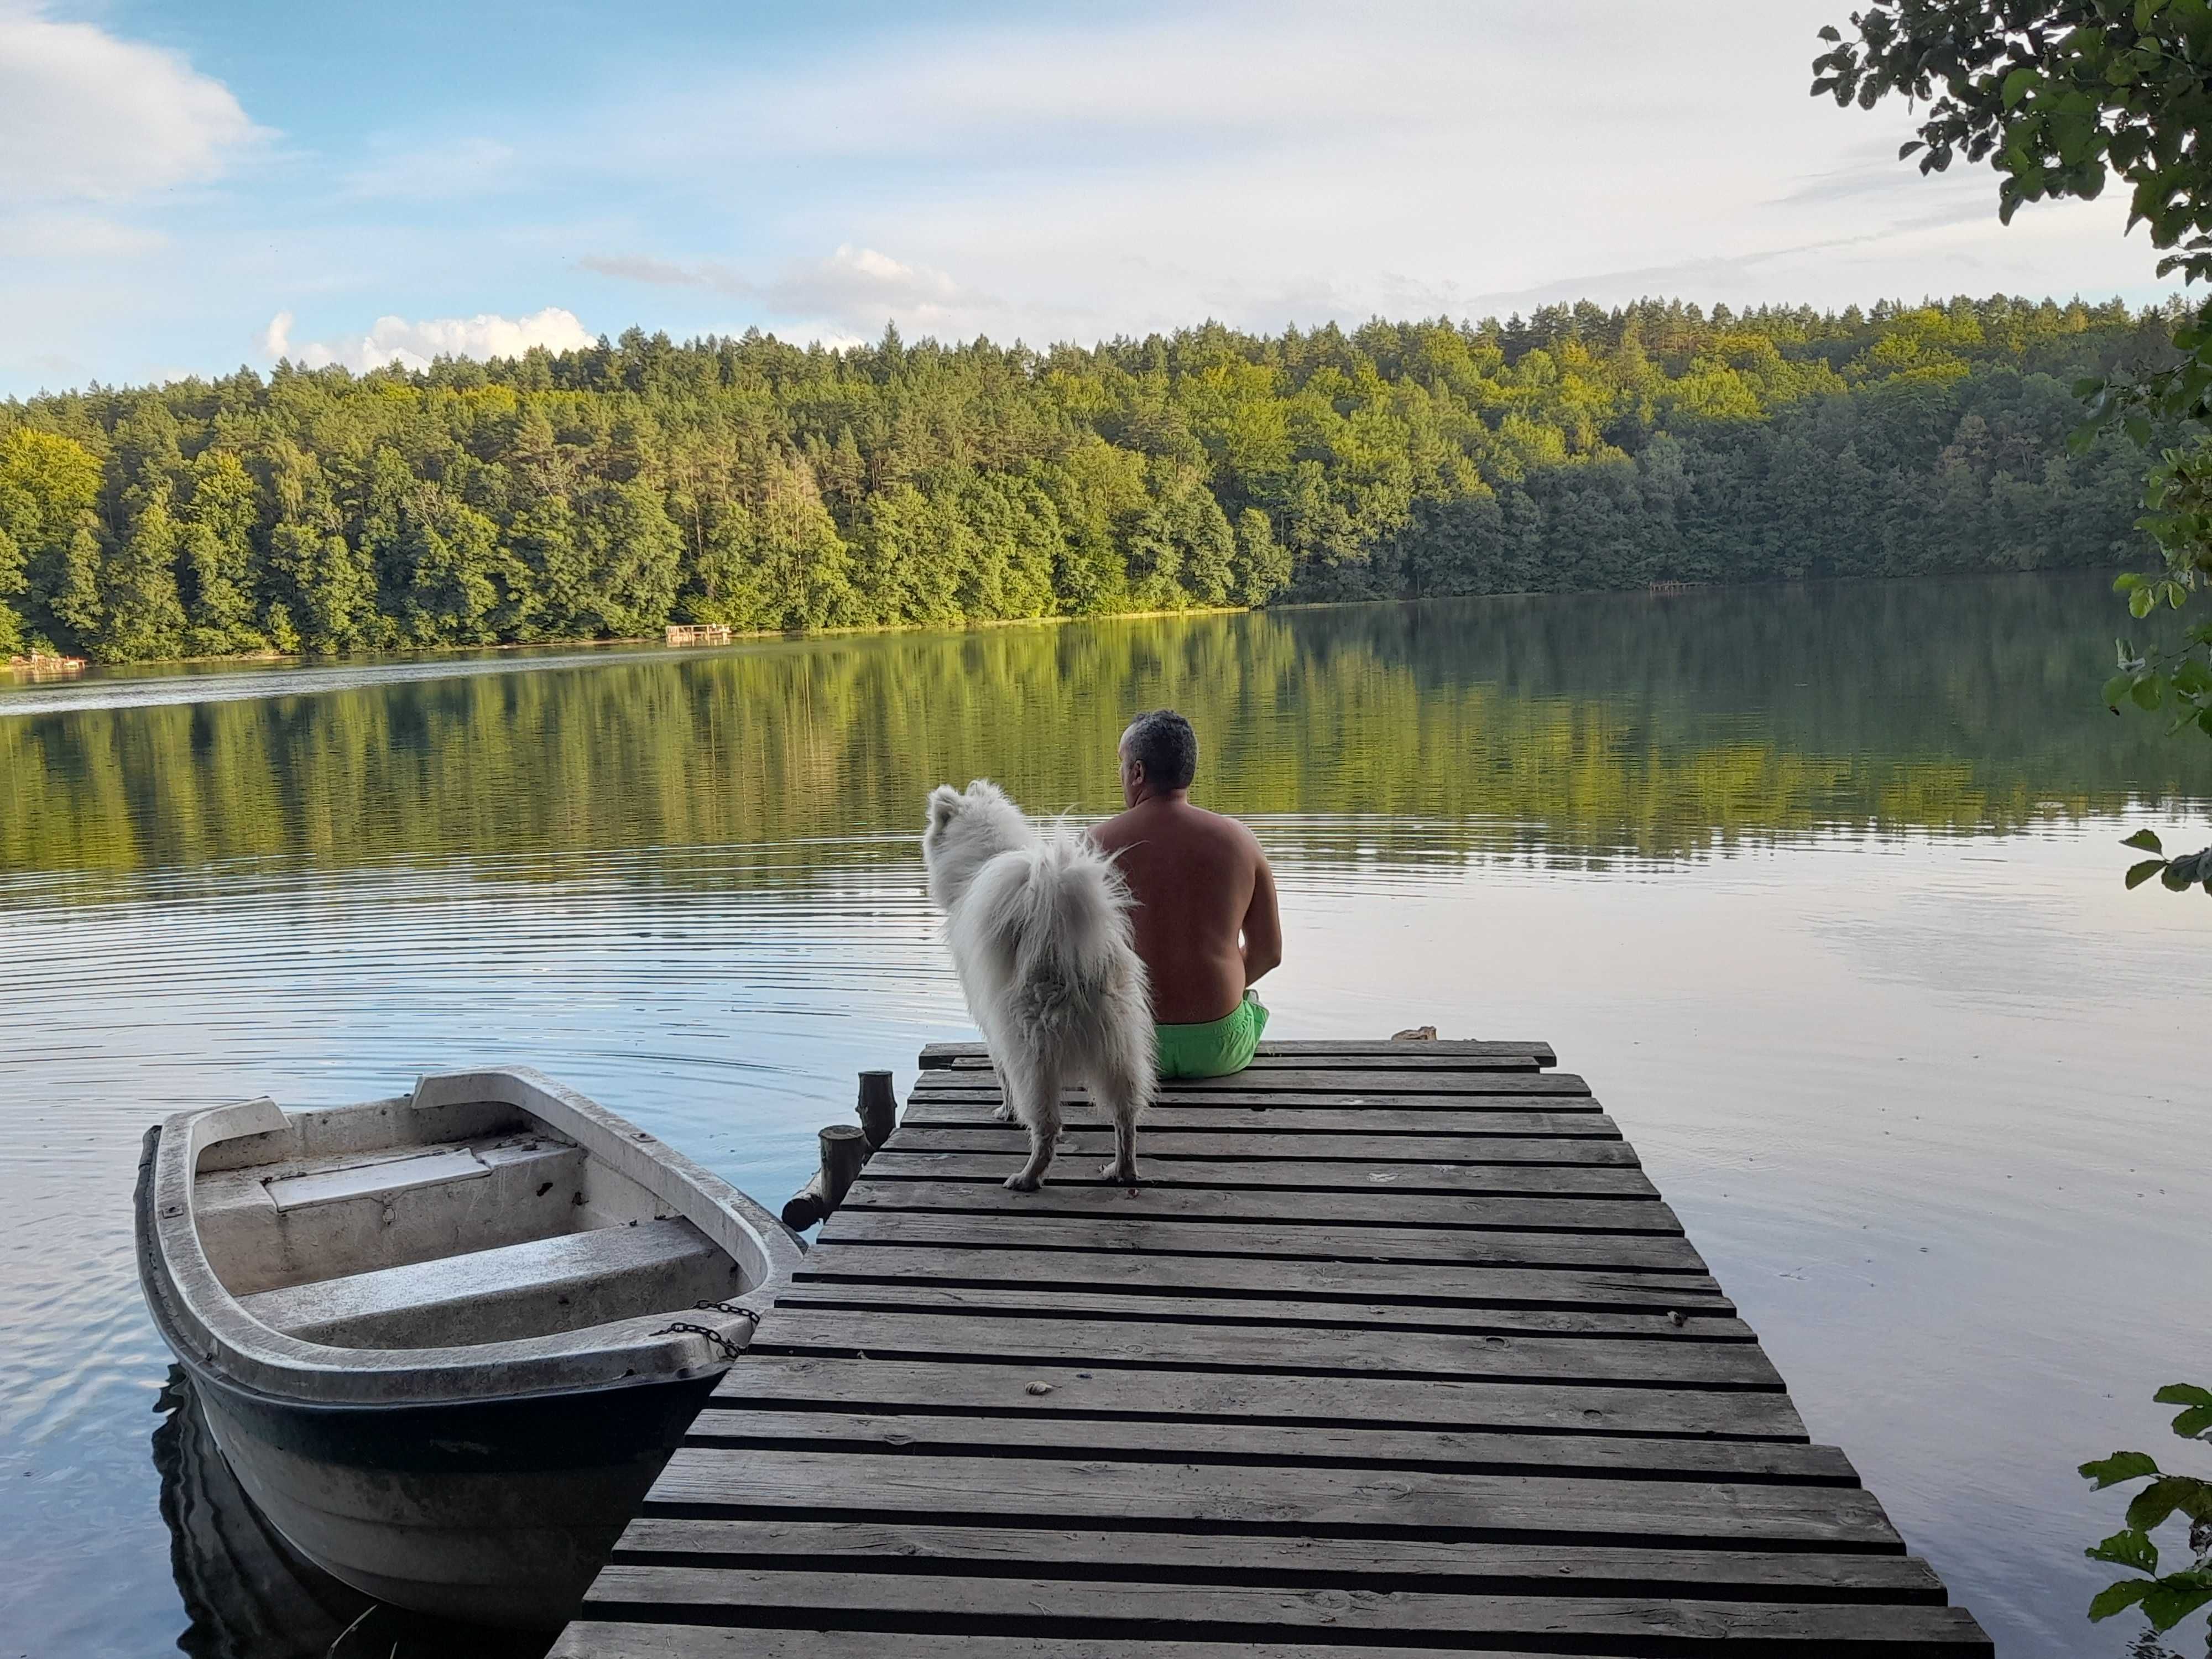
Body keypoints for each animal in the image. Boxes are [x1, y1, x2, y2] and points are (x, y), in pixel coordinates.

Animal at [920, 783, 1159, 1194]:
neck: (986, 857)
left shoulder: (994, 1028)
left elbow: (1000, 1074)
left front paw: (1005, 1111)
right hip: (1120, 1049)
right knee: (1125, 1115)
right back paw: (1122, 1169)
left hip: (1032, 1056)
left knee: (1047, 1126)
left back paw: (1028, 1176)